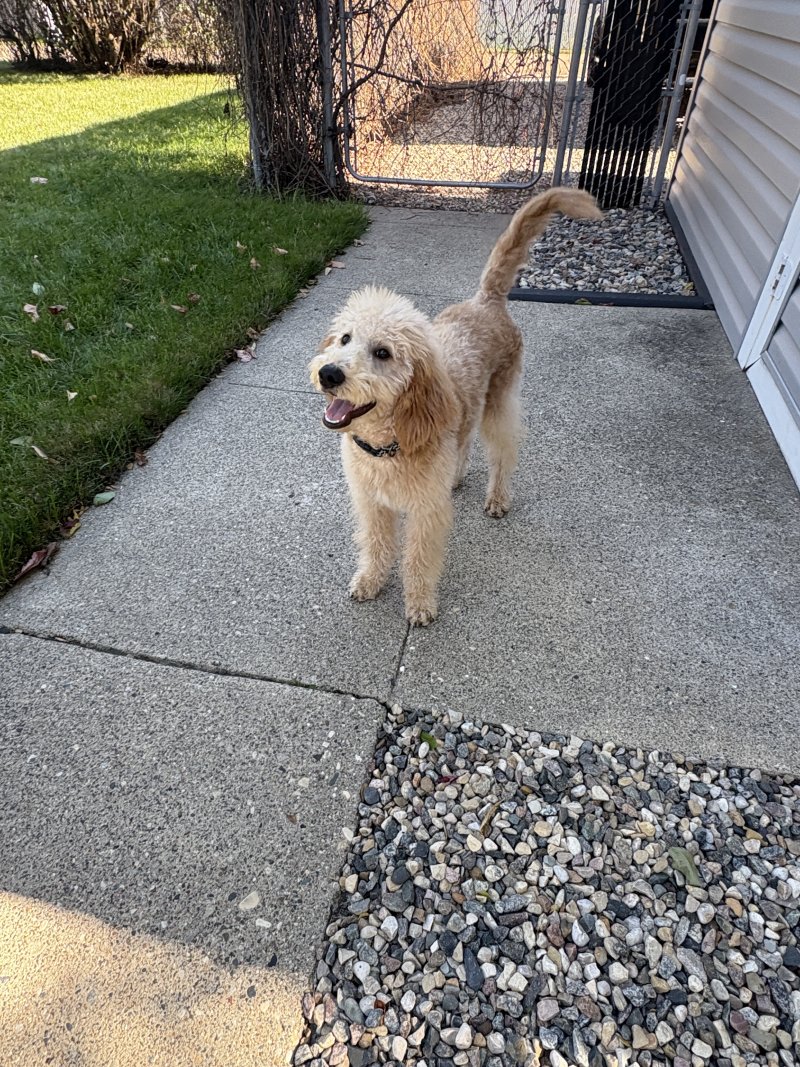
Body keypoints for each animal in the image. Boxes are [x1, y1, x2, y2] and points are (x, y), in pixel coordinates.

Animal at [309, 188, 602, 626]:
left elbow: (417, 560)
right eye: (345, 338)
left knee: (503, 451)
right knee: (464, 442)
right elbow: (376, 544)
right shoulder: (372, 503)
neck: (387, 444)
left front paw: (419, 604)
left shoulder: (426, 512)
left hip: (499, 403)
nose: (329, 374)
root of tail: (486, 299)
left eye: (383, 352)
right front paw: (371, 580)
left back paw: (497, 496)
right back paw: (458, 476)